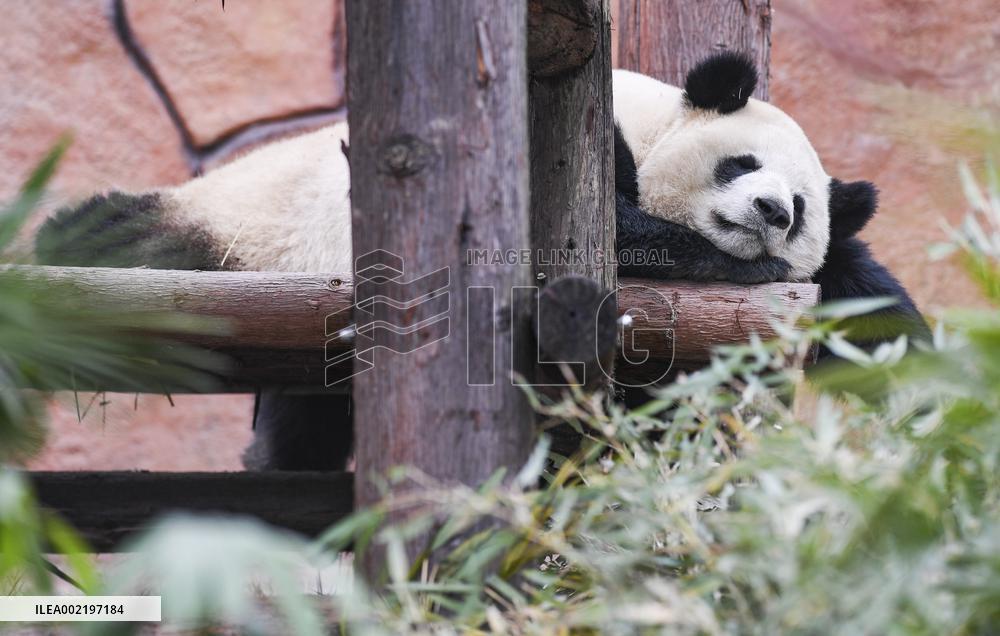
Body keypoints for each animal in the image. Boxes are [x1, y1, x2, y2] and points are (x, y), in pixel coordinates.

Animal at [35, 52, 927, 470]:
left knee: (307, 419)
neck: (649, 123)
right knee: (128, 237)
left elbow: (868, 304)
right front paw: (737, 267)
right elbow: (597, 233)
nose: (772, 214)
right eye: (741, 164)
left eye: (802, 208)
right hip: (239, 234)